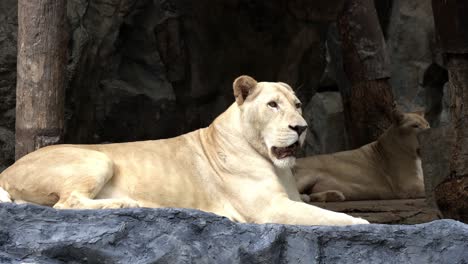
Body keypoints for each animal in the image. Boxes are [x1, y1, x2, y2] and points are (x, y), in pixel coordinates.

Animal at [0, 75, 368, 226]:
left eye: (298, 105)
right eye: (272, 105)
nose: (301, 127)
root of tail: (6, 171)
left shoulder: (288, 199)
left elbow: (316, 205)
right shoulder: (269, 209)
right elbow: (333, 219)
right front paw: (362, 223)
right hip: (98, 157)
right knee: (66, 204)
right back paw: (126, 203)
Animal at [294, 109, 430, 202]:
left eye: (427, 124)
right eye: (415, 126)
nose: (429, 131)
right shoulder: (408, 186)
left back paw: (334, 195)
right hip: (307, 174)